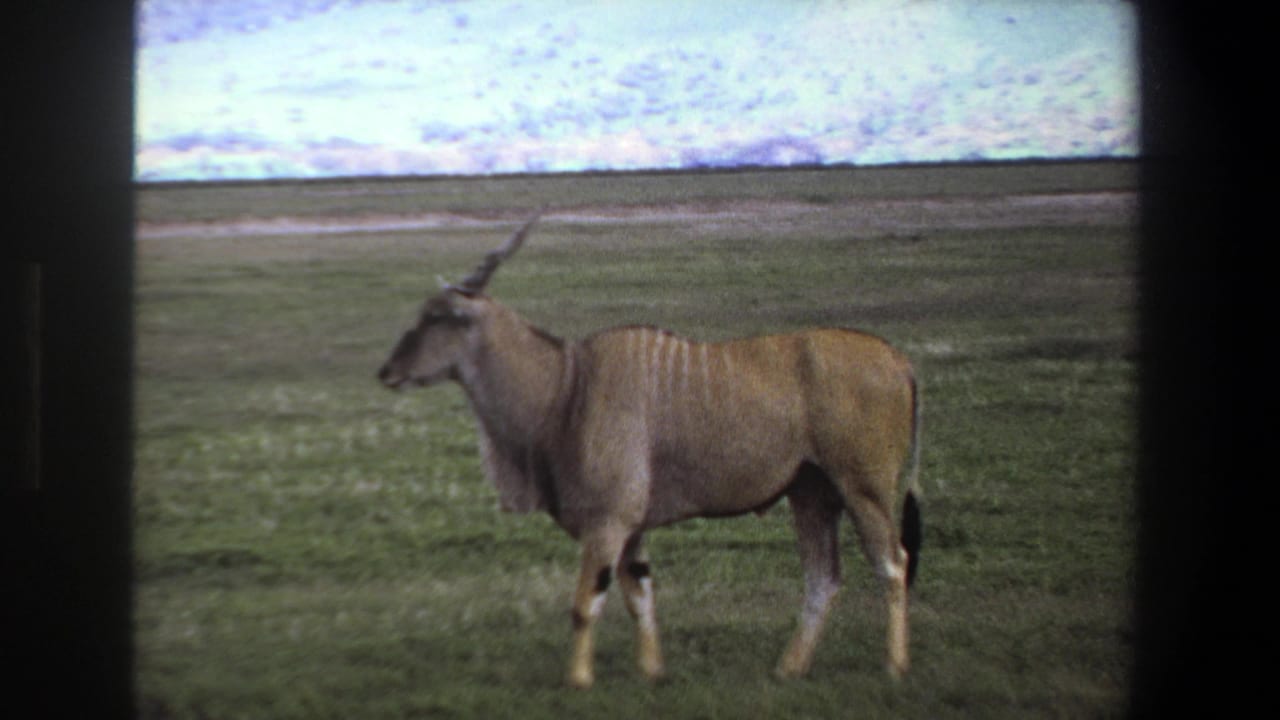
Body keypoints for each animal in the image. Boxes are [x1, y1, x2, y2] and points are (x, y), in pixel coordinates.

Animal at [377, 211, 923, 688]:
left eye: (438, 316)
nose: (387, 371)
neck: (566, 387)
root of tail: (898, 360)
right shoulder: (632, 529)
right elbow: (640, 596)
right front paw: (653, 673)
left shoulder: (607, 523)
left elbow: (585, 603)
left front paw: (578, 681)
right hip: (811, 493)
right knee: (823, 578)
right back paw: (789, 668)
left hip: (863, 488)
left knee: (893, 563)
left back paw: (894, 667)